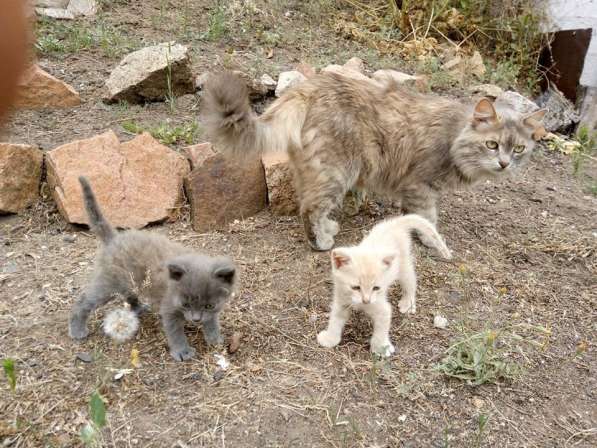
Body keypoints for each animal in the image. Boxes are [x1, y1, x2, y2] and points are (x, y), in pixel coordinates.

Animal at [68, 177, 236, 362]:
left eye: (208, 306)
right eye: (185, 304)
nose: (196, 319)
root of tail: (114, 239)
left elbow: (212, 321)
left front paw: (214, 339)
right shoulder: (168, 308)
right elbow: (175, 333)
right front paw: (182, 351)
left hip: (130, 280)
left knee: (129, 293)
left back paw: (138, 308)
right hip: (108, 284)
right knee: (84, 301)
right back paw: (77, 329)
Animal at [316, 214, 452, 356]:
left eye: (376, 288)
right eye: (356, 287)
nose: (366, 300)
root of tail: (395, 223)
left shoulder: (382, 308)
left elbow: (382, 328)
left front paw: (380, 347)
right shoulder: (341, 301)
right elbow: (335, 320)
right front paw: (330, 339)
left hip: (403, 266)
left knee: (410, 281)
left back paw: (407, 303)